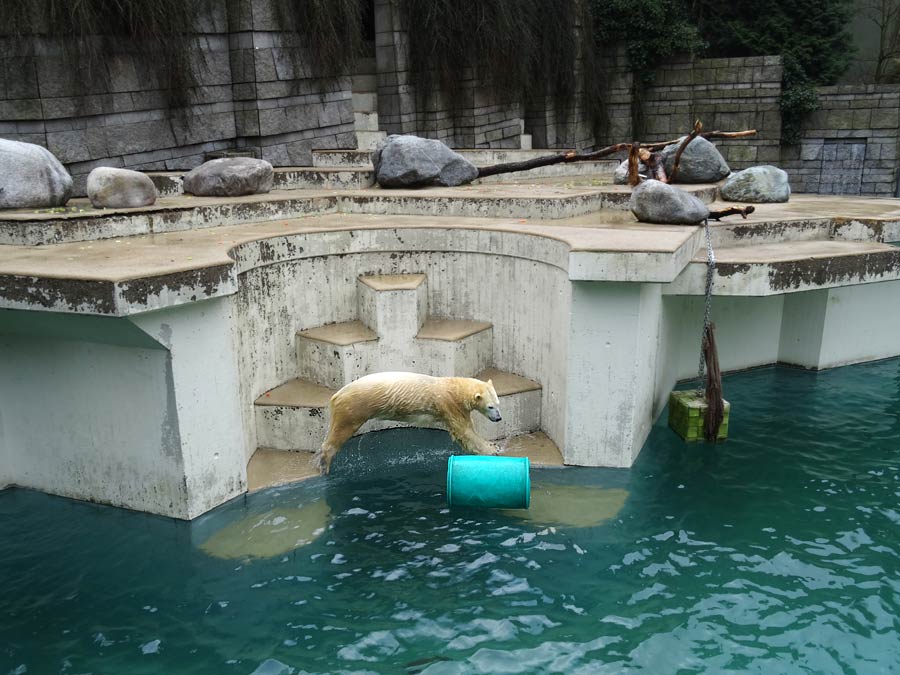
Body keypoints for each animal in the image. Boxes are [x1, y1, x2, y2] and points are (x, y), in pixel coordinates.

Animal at [314, 374, 500, 476]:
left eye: (498, 404)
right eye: (490, 406)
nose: (499, 418)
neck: (453, 387)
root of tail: (336, 395)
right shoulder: (449, 404)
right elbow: (464, 431)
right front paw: (492, 449)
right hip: (354, 407)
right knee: (341, 431)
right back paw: (324, 462)